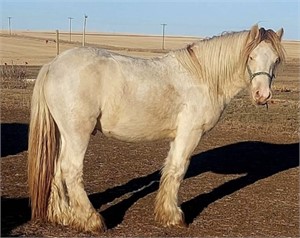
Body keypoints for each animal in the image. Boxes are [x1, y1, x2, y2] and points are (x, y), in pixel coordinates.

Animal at [27, 24, 286, 232]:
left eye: (276, 60)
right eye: (251, 56)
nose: (262, 95)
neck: (202, 77)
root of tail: (53, 64)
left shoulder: (178, 136)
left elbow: (170, 169)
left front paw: (164, 213)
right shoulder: (190, 133)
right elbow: (178, 170)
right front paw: (174, 217)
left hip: (65, 134)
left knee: (57, 170)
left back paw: (63, 215)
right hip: (77, 133)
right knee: (71, 170)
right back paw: (91, 220)